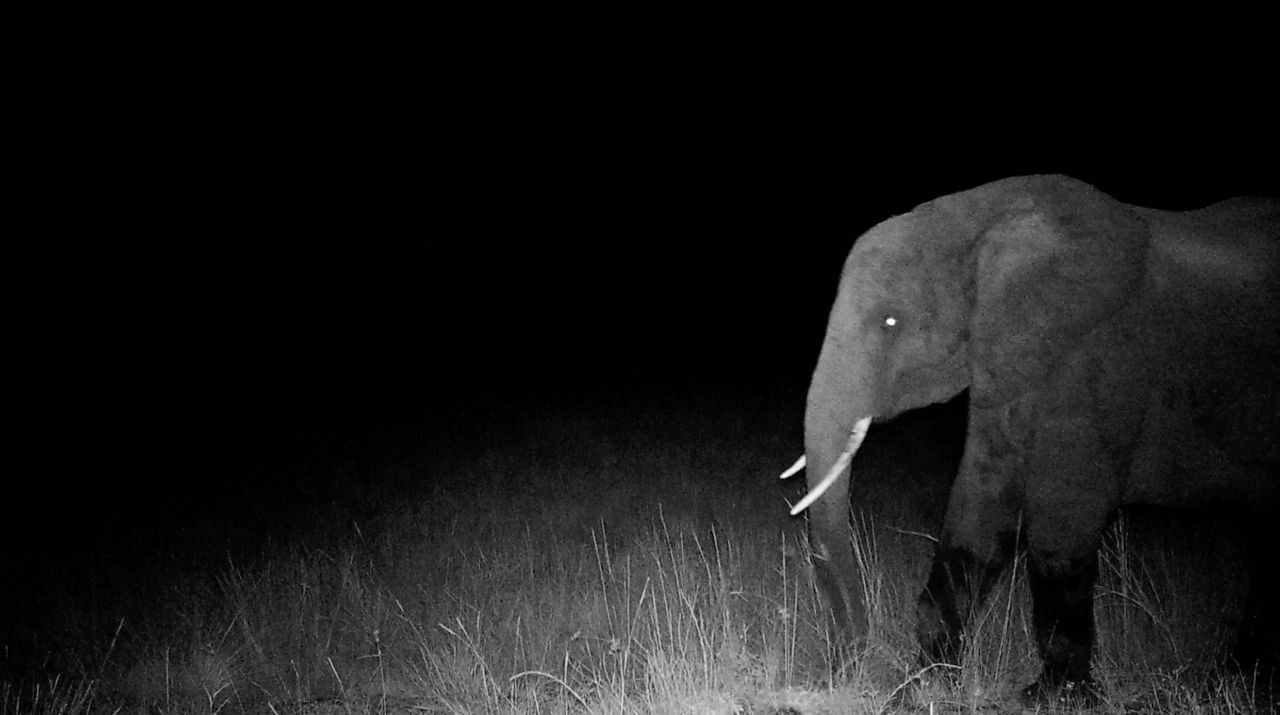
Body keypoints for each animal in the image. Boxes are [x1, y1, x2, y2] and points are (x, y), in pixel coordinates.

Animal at [781, 175, 1279, 701]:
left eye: (891, 322)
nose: (847, 666)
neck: (979, 220)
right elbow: (980, 507)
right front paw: (924, 684)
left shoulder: (1095, 359)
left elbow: (1064, 521)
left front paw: (1053, 696)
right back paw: (1239, 678)